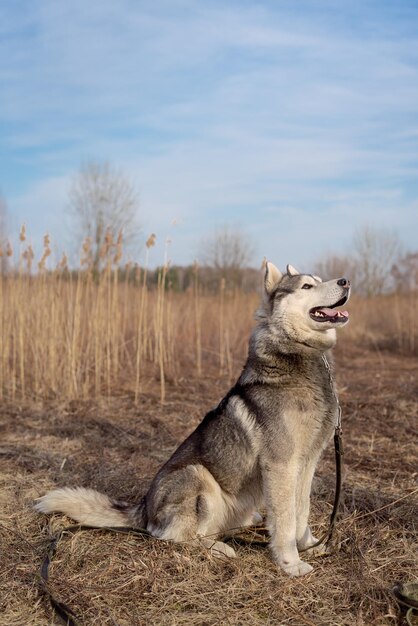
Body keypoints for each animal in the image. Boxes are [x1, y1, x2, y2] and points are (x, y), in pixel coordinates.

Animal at [35, 262, 350, 576]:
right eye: (307, 286)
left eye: (320, 279)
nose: (346, 281)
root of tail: (144, 509)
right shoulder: (281, 464)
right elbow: (284, 520)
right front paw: (290, 562)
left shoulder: (307, 463)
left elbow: (301, 511)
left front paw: (309, 544)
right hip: (197, 476)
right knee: (176, 536)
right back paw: (219, 549)